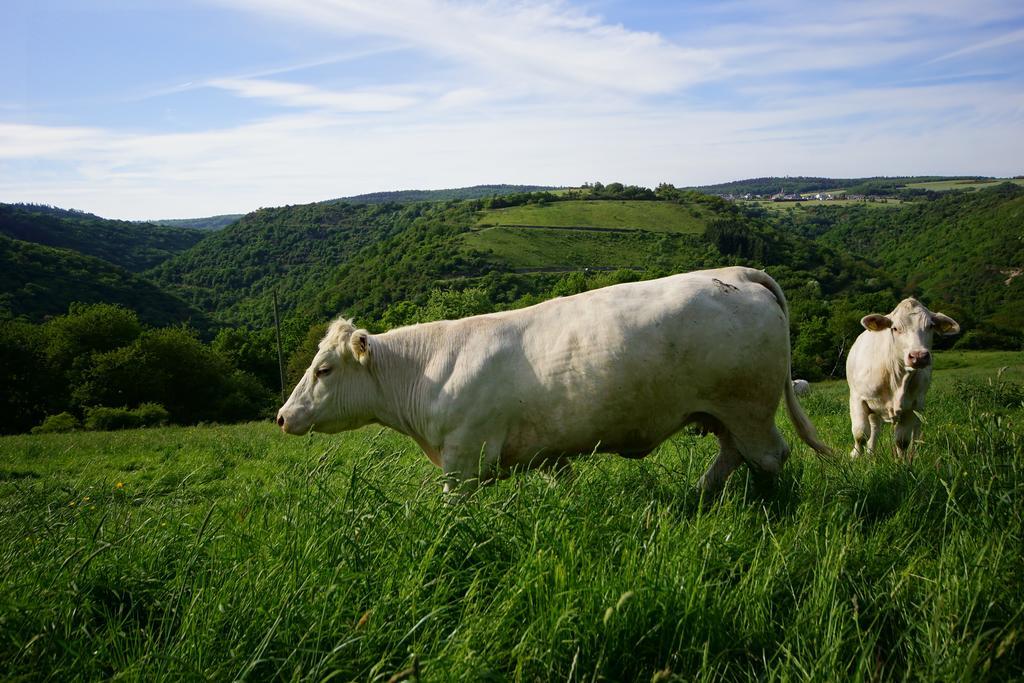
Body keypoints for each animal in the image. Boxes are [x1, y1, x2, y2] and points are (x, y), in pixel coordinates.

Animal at [278, 266, 831, 497]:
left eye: (323, 370)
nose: (283, 416)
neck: (431, 370)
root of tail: (737, 272)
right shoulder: (546, 452)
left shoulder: (462, 457)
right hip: (722, 413)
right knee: (733, 455)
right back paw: (696, 495)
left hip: (748, 406)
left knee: (768, 458)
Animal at [843, 296, 954, 456]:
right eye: (895, 328)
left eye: (930, 326)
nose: (918, 356)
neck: (897, 380)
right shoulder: (858, 398)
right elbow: (860, 434)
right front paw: (855, 456)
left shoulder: (911, 406)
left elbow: (902, 441)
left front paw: (902, 461)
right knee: (874, 428)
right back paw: (870, 453)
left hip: (919, 405)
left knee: (916, 428)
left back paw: (914, 452)